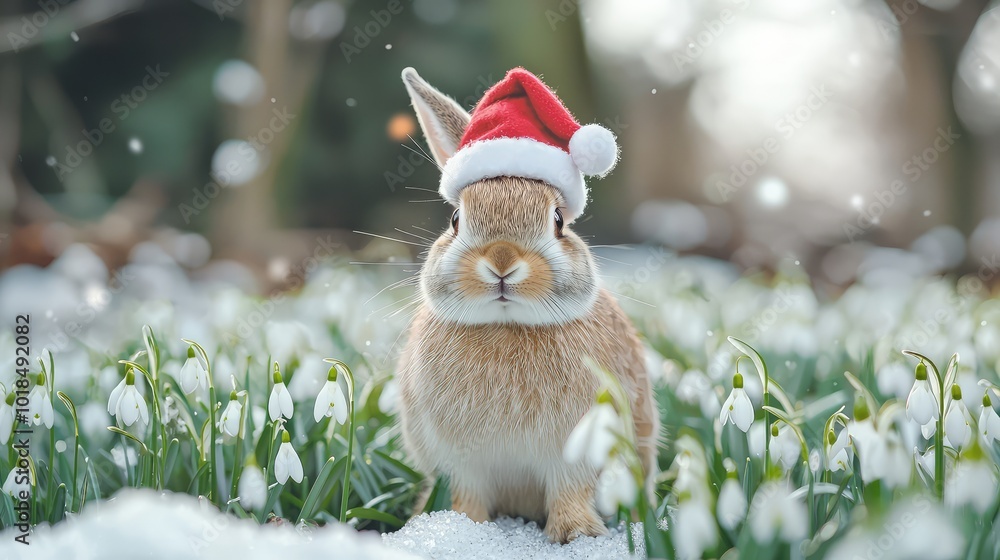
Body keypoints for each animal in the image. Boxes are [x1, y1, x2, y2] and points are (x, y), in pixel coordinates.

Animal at [395, 67, 659, 544]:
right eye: (456, 220)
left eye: (557, 221)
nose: (502, 260)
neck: (506, 325)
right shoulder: (461, 463)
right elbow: (467, 496)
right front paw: (462, 529)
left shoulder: (575, 454)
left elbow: (570, 491)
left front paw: (578, 536)